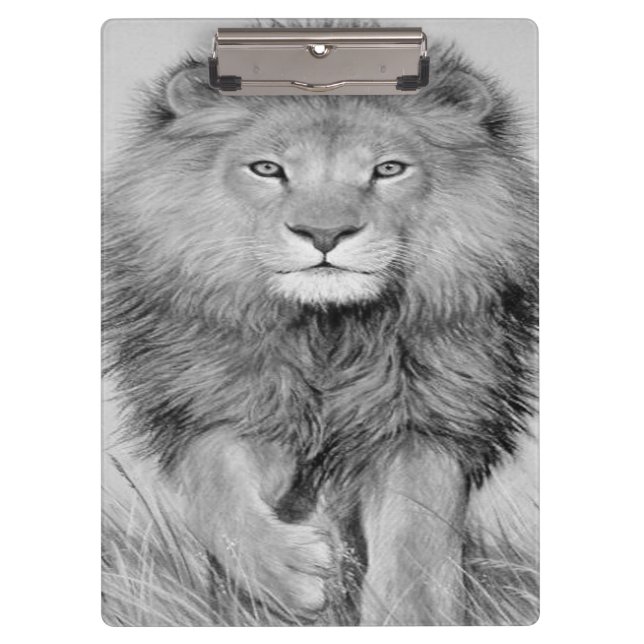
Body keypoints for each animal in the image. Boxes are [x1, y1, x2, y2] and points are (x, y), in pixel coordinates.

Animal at [103, 33, 537, 626]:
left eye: (388, 169)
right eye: (267, 169)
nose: (324, 233)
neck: (328, 333)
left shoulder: (425, 419)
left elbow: (416, 537)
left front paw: (407, 617)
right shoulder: (224, 403)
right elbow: (216, 487)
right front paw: (294, 575)